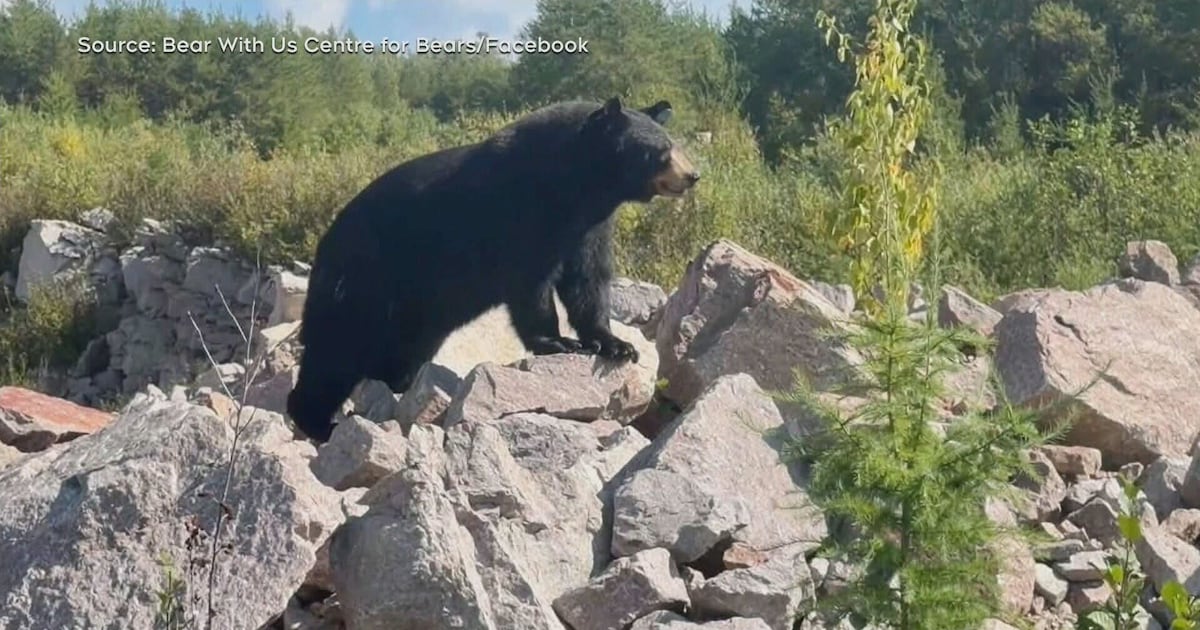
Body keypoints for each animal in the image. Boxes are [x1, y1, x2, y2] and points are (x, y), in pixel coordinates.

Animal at [285, 96, 701, 443]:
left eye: (674, 143)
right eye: (661, 151)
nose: (693, 176)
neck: (575, 187)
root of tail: (326, 245)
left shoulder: (589, 227)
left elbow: (588, 281)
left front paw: (615, 345)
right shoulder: (518, 213)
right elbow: (530, 282)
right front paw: (557, 341)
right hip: (364, 285)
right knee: (335, 352)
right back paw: (318, 423)